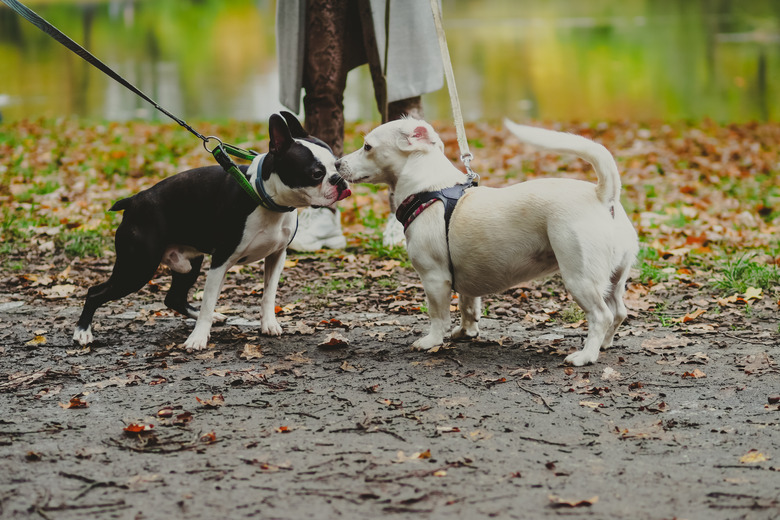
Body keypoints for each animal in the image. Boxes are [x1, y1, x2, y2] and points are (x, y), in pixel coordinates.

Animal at [74, 112, 350, 352]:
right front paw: (197, 339)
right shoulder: (221, 260)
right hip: (138, 267)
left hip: (187, 264)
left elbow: (268, 294)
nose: (340, 180)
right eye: (316, 174)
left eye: (337, 165)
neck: (263, 196)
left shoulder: (277, 256)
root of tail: (133, 201)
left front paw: (268, 324)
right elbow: (208, 300)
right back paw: (82, 332)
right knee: (95, 292)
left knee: (174, 297)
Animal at [334, 118, 632, 366]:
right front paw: (466, 332)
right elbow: (468, 308)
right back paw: (604, 345)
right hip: (615, 279)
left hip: (580, 279)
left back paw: (586, 355)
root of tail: (602, 195)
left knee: (601, 316)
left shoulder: (434, 278)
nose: (336, 164)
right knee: (618, 313)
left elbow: (437, 316)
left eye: (367, 146)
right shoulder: (464, 277)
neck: (429, 188)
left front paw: (431, 341)